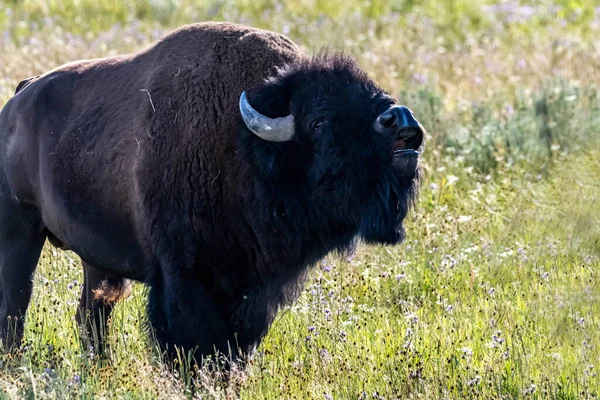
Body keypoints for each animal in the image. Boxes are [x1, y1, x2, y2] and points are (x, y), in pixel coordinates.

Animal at [0, 21, 422, 364]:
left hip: (95, 258)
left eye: (372, 93)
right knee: (16, 306)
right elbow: (194, 341)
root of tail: (19, 97)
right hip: (21, 233)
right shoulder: (185, 277)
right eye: (318, 122)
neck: (242, 144)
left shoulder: (252, 290)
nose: (400, 121)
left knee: (91, 316)